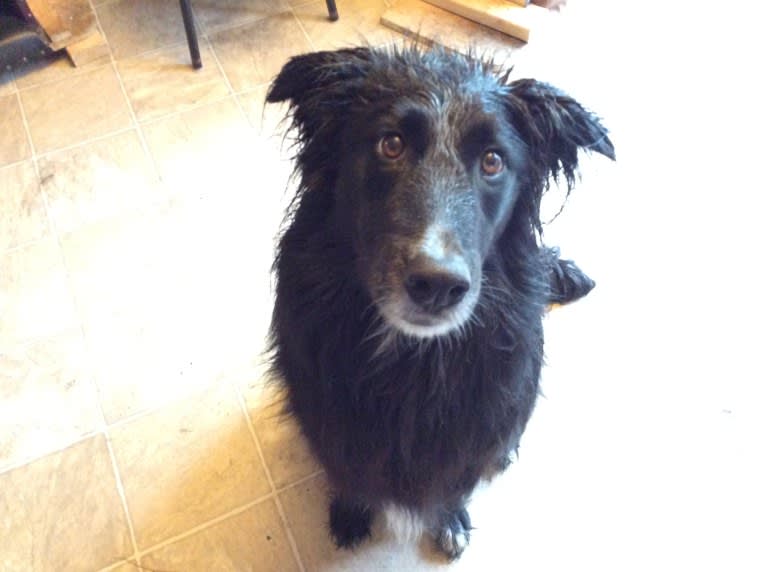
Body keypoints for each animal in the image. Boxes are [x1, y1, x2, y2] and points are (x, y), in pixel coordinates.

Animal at [268, 44, 616, 560]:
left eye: (493, 161)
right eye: (390, 144)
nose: (438, 285)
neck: (411, 358)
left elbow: (456, 482)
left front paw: (450, 519)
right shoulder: (326, 413)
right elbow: (345, 471)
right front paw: (351, 513)